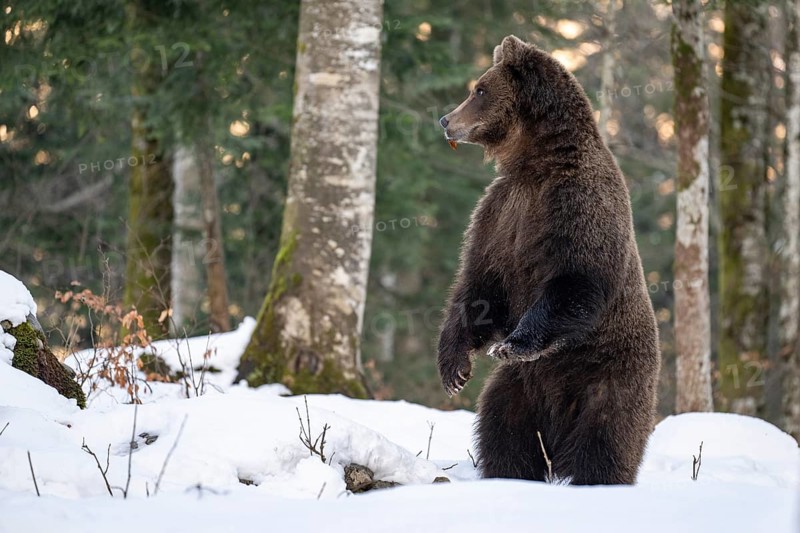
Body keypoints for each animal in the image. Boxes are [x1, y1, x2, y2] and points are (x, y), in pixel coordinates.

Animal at [436, 35, 660, 485]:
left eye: (479, 90)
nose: (445, 120)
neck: (535, 164)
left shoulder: (576, 205)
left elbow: (576, 281)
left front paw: (511, 343)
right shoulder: (501, 214)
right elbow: (479, 284)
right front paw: (453, 369)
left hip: (609, 379)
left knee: (603, 444)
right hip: (521, 391)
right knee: (503, 432)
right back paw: (508, 474)